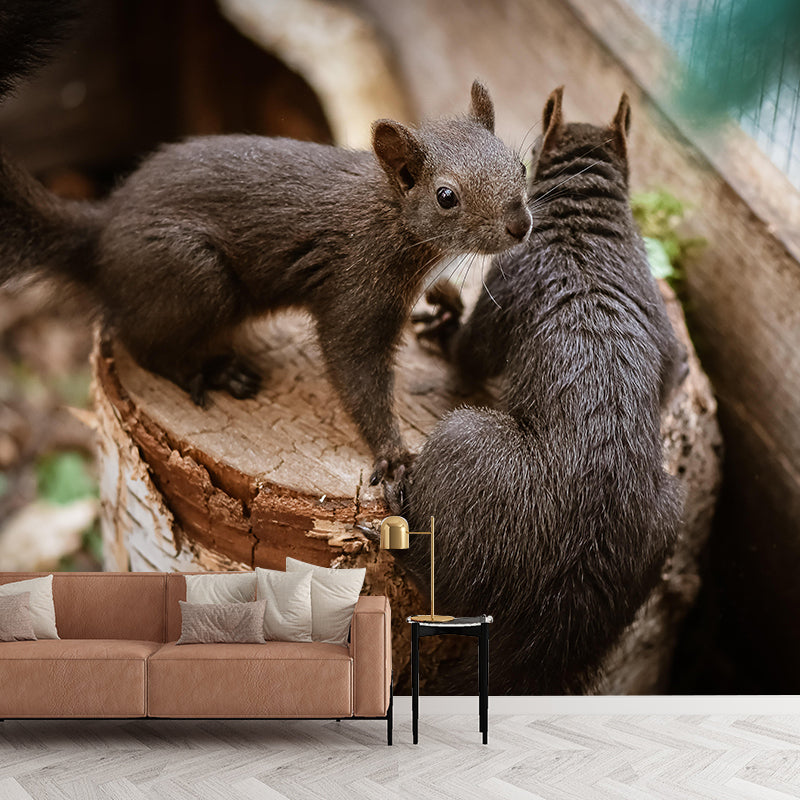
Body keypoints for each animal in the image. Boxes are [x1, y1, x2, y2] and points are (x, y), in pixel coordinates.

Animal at [0, 0, 532, 485]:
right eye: (446, 196)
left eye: (520, 165)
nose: (520, 225)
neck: (393, 218)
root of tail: (100, 232)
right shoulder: (356, 285)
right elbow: (355, 369)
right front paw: (393, 453)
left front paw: (446, 300)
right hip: (193, 274)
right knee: (141, 343)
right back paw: (210, 372)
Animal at [392, 88, 687, 694]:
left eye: (523, 164)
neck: (588, 224)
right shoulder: (658, 311)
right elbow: (673, 373)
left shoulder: (511, 276)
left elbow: (472, 354)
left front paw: (447, 321)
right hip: (668, 517)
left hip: (464, 446)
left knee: (444, 585)